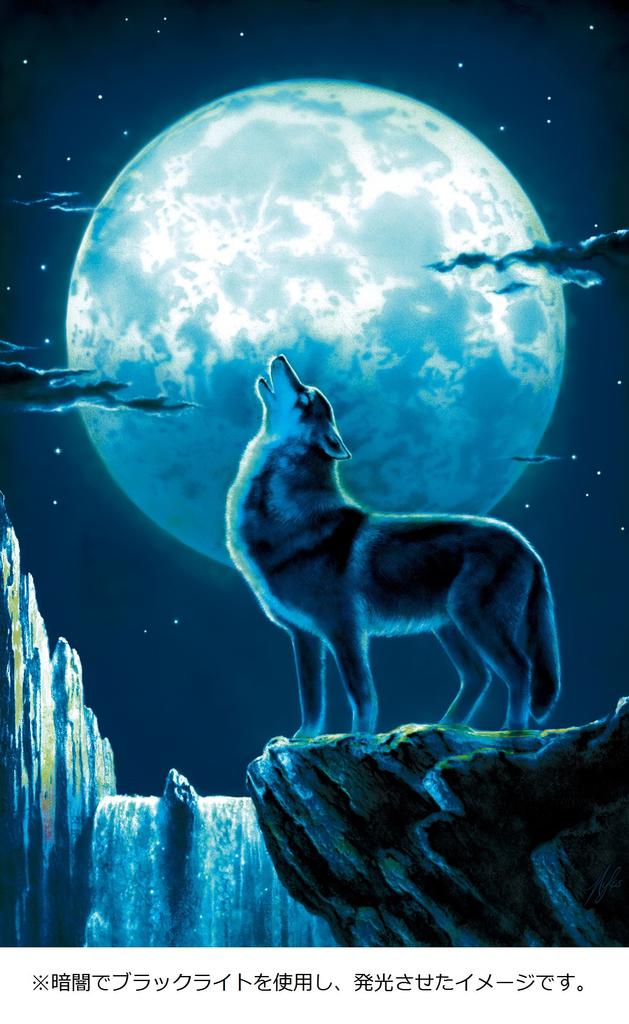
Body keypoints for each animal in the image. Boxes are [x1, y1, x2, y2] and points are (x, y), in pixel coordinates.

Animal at [226, 355, 561, 736]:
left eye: (306, 396)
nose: (280, 357)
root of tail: (528, 547)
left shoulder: (344, 629)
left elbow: (361, 692)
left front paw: (359, 737)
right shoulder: (304, 636)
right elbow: (311, 698)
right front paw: (304, 738)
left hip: (473, 620)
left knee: (519, 670)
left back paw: (512, 731)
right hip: (451, 627)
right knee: (479, 677)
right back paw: (443, 726)